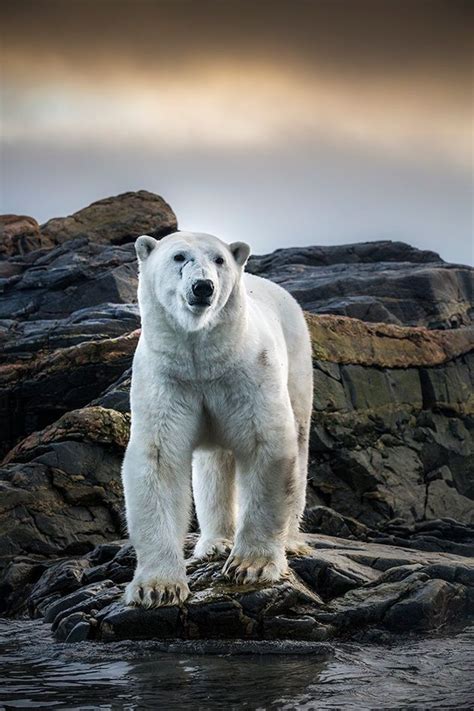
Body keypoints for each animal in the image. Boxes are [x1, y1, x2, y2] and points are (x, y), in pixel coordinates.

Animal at [122, 231, 312, 608]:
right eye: (179, 256)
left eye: (219, 259)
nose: (203, 287)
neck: (203, 361)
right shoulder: (168, 378)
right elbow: (159, 459)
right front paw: (158, 587)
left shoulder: (248, 372)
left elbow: (266, 445)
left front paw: (252, 566)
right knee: (214, 464)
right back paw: (216, 542)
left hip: (298, 359)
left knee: (298, 440)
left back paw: (290, 540)